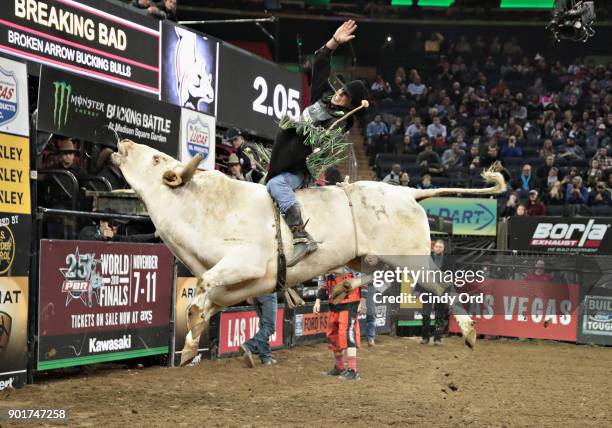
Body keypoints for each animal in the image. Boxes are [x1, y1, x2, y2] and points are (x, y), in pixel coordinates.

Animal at [111, 140, 506, 364]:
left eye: (157, 160)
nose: (124, 141)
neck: (203, 205)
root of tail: (407, 193)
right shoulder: (238, 284)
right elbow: (204, 302)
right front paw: (192, 347)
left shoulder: (245, 262)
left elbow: (204, 288)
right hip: (370, 255)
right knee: (373, 274)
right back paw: (342, 288)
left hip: (414, 258)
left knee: (442, 286)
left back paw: (469, 331)